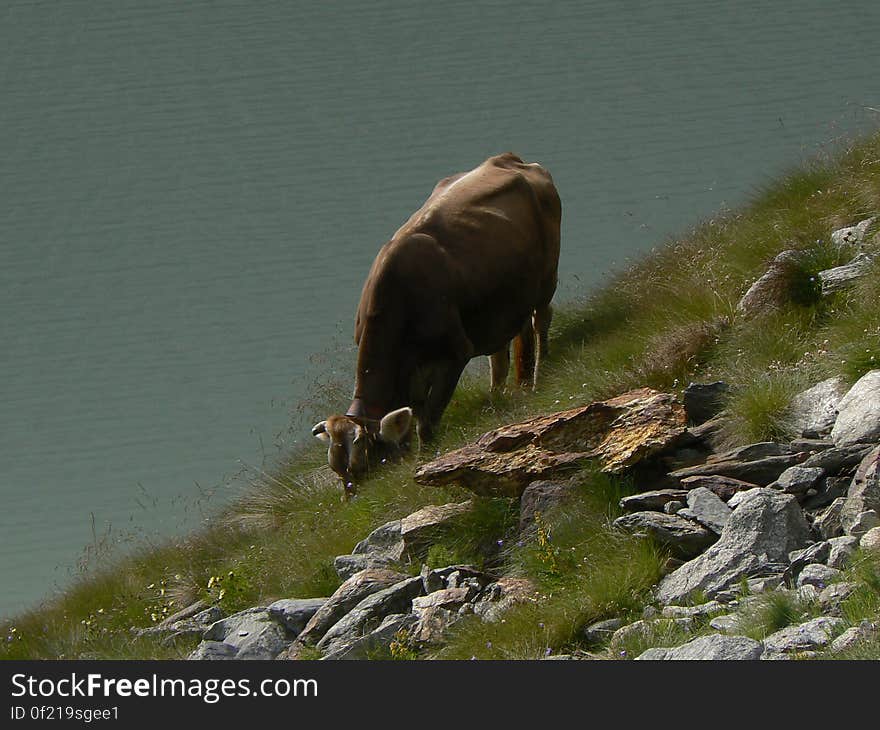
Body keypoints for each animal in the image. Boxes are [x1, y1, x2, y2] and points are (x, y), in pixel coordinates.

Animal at [312, 153, 560, 494]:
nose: (358, 502)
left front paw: (425, 461)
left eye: (364, 465)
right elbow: (417, 416)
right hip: (506, 300)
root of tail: (506, 159)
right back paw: (503, 393)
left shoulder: (454, 354)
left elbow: (427, 424)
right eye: (337, 470)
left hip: (547, 277)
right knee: (504, 350)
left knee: (540, 323)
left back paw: (538, 376)